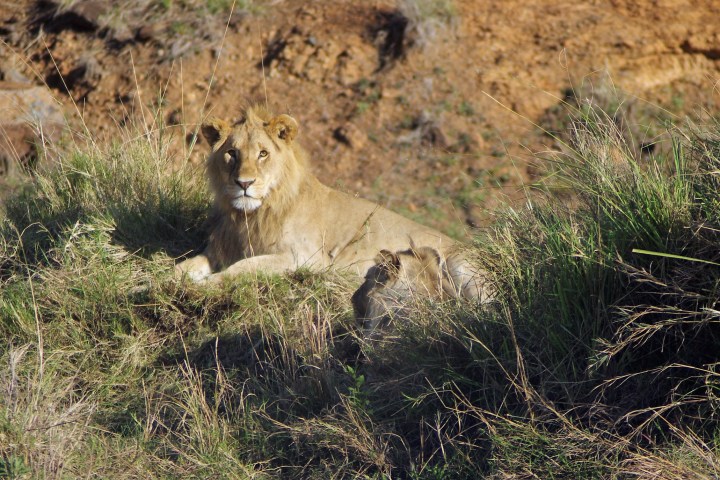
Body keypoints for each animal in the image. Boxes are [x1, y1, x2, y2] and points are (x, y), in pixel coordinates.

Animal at [176, 106, 466, 284]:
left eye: (263, 153)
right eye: (232, 153)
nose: (244, 183)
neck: (251, 218)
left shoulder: (304, 257)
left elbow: (244, 267)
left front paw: (208, 283)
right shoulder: (219, 251)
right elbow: (186, 265)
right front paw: (168, 278)